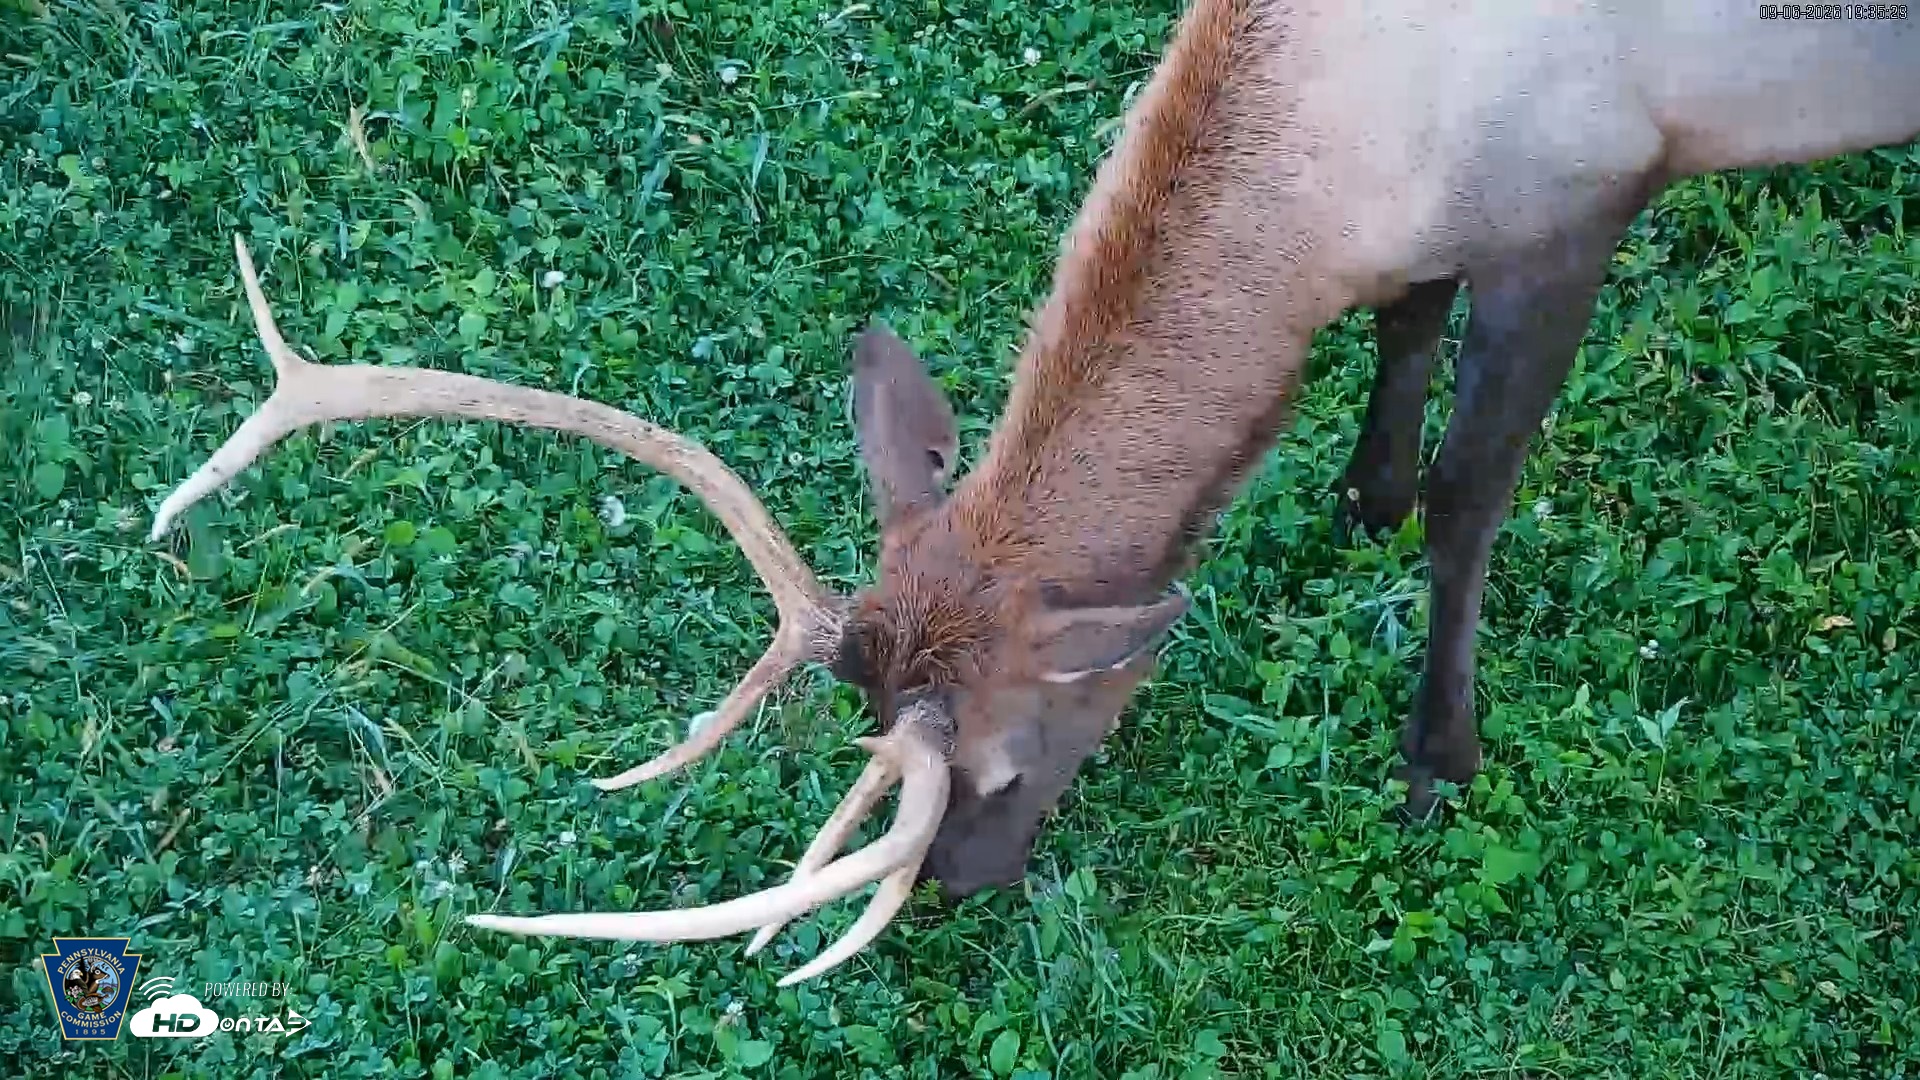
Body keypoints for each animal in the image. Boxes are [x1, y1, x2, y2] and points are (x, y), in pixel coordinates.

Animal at [150, 0, 1920, 985]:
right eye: (865, 722)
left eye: (999, 767)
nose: (949, 897)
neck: (1379, 134)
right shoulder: (1449, 230)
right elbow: (1402, 336)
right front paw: (1356, 499)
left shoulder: (1588, 189)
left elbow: (1479, 491)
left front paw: (1439, 759)